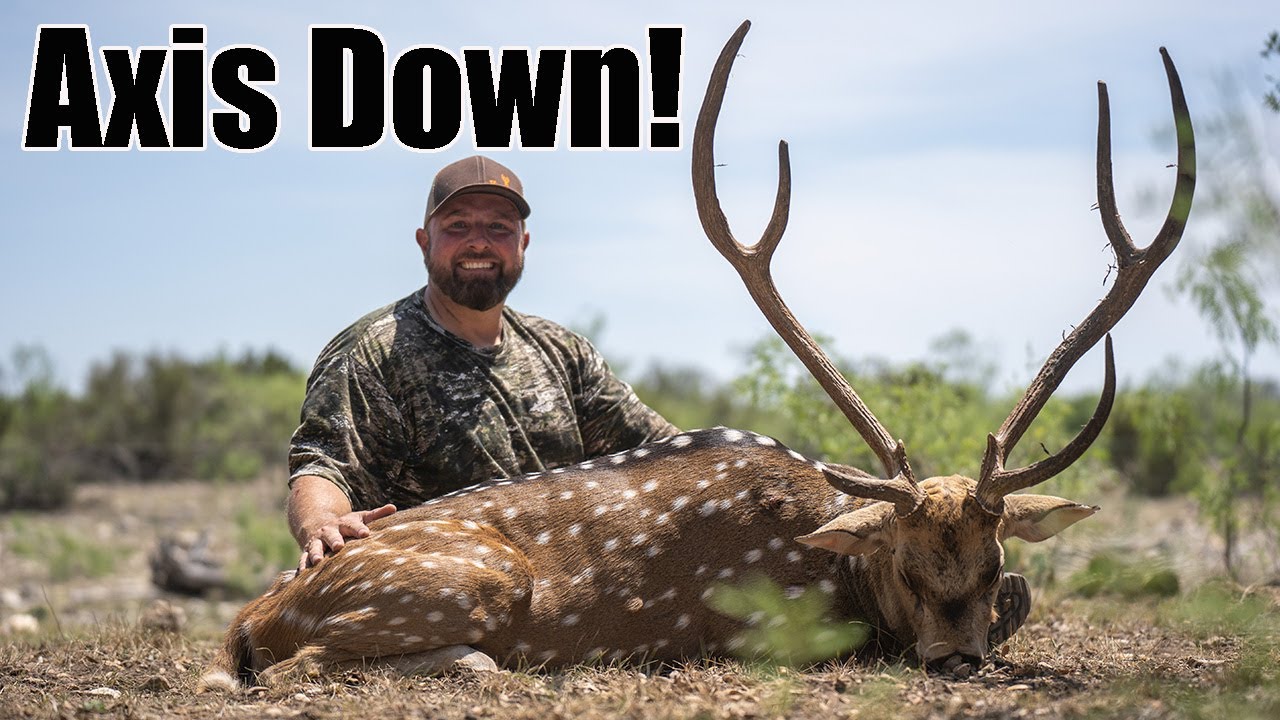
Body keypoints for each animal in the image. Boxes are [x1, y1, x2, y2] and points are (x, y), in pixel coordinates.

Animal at [200, 20, 1195, 691]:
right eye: (910, 566)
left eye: (989, 566)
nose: (955, 661)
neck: (838, 563)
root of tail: (256, 611)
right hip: (455, 583)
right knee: (298, 670)